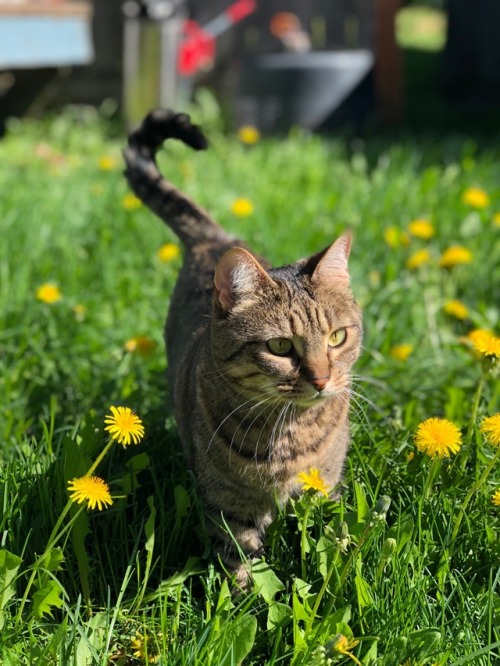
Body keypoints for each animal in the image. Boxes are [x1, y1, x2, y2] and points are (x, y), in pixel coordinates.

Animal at [123, 109, 362, 580]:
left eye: (337, 337)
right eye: (280, 347)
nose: (322, 380)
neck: (289, 433)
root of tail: (214, 237)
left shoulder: (324, 489)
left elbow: (327, 546)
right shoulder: (230, 508)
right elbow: (241, 566)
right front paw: (241, 596)